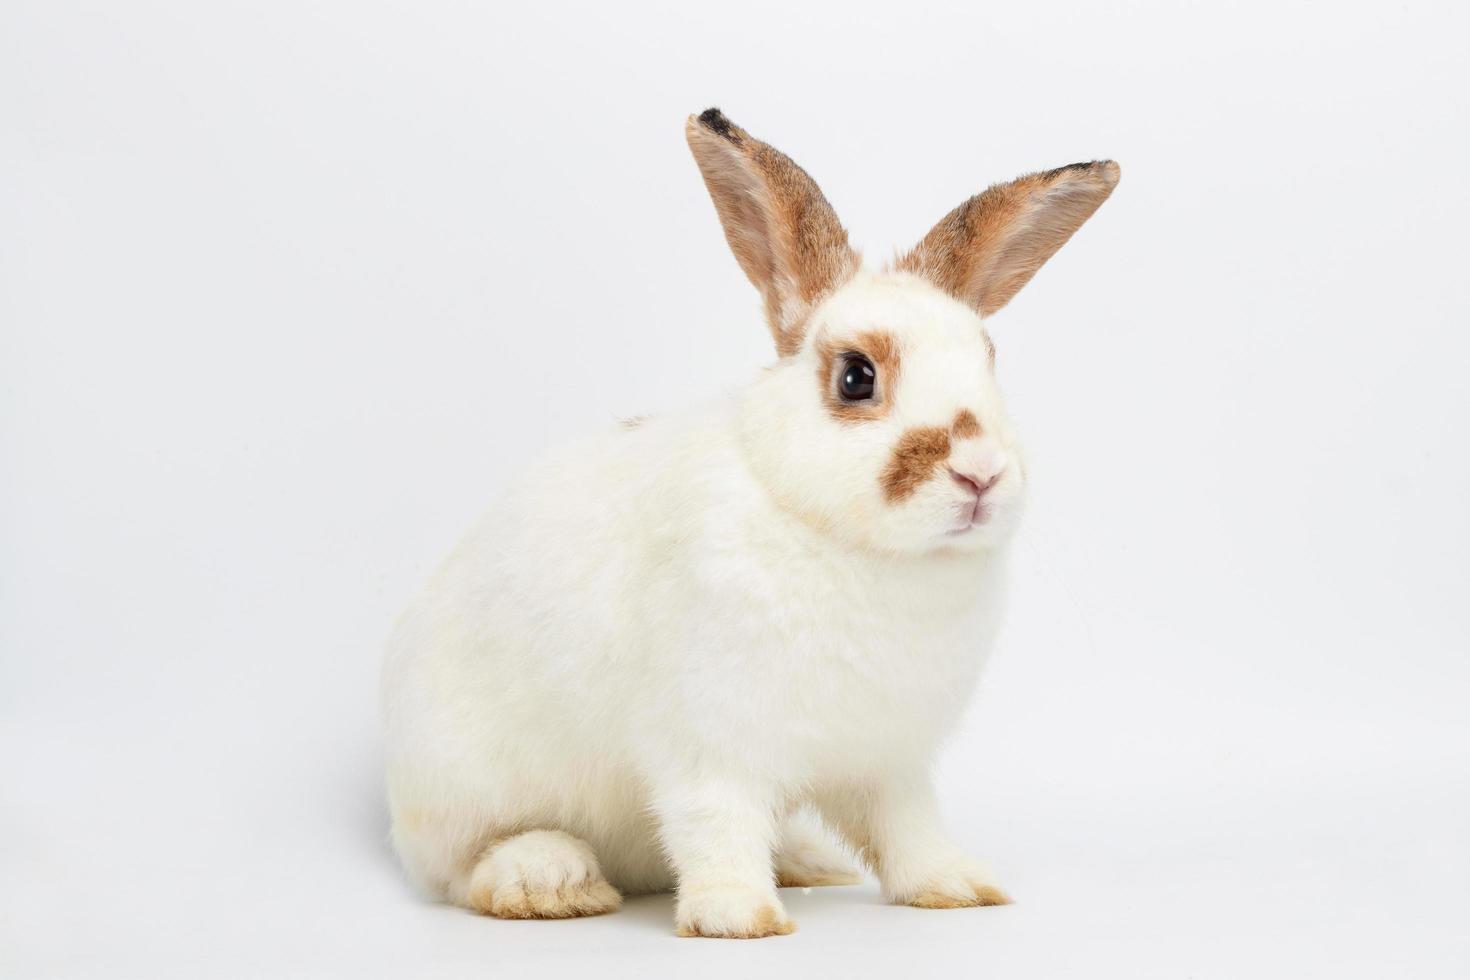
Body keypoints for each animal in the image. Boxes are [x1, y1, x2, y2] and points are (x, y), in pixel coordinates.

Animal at [379, 107, 1111, 934]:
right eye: (856, 377)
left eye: (990, 361)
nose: (981, 473)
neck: (860, 551)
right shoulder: (709, 746)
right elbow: (715, 823)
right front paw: (739, 917)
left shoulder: (891, 759)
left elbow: (909, 828)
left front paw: (956, 888)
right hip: (464, 790)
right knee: (465, 866)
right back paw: (550, 881)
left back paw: (808, 863)